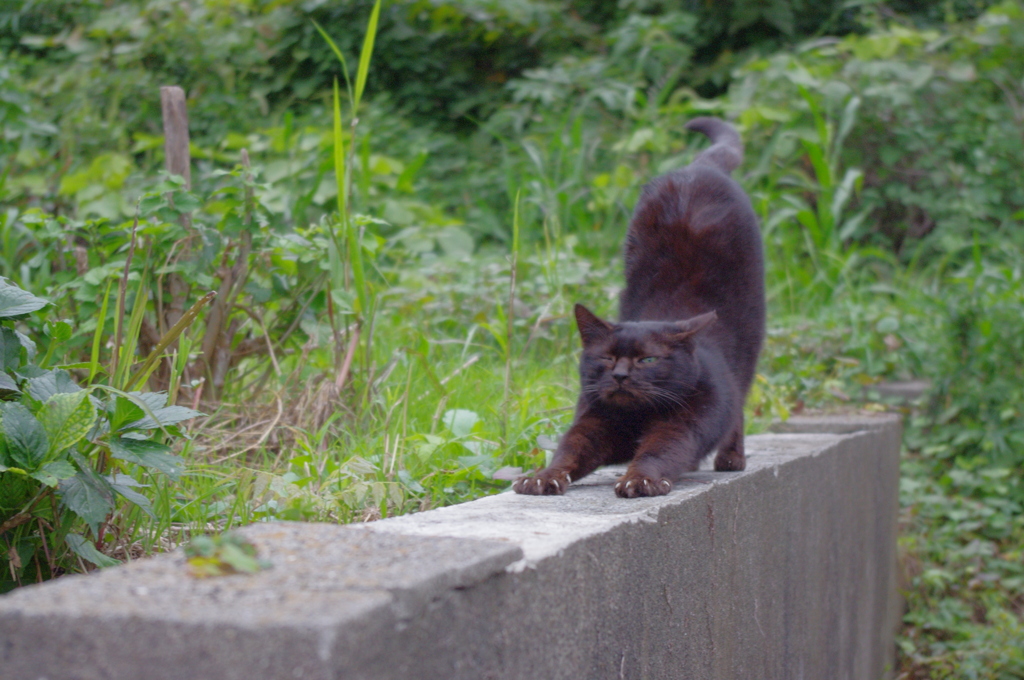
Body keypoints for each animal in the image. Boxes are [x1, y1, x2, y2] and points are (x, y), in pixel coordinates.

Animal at [512, 116, 761, 497]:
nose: (620, 376)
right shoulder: (594, 418)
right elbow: (570, 447)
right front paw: (543, 476)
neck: (638, 416)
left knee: (739, 404)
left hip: (749, 345)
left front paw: (640, 479)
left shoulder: (686, 422)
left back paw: (731, 458)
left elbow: (662, 449)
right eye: (606, 358)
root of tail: (698, 167)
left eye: (648, 360)